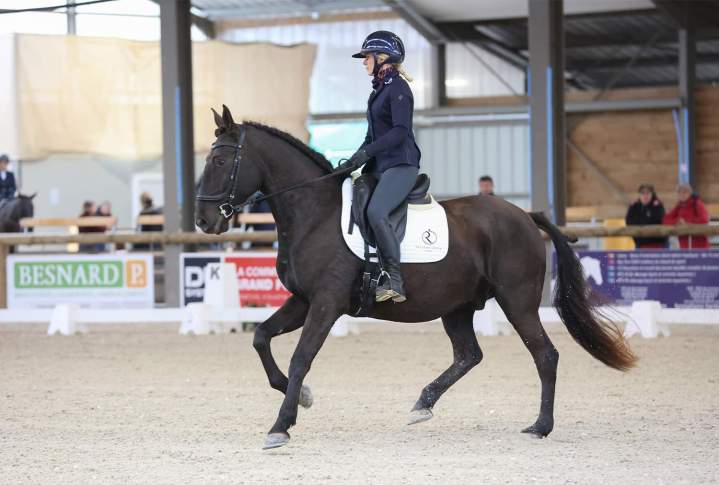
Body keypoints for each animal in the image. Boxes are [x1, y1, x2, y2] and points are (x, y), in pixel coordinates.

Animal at [195, 106, 636, 450]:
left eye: (219, 162)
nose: (203, 221)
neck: (313, 212)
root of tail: (524, 216)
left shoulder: (325, 303)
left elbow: (301, 356)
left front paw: (281, 426)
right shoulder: (303, 301)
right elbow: (260, 337)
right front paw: (300, 396)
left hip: (517, 301)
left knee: (544, 355)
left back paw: (540, 427)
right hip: (457, 305)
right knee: (468, 355)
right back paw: (423, 405)